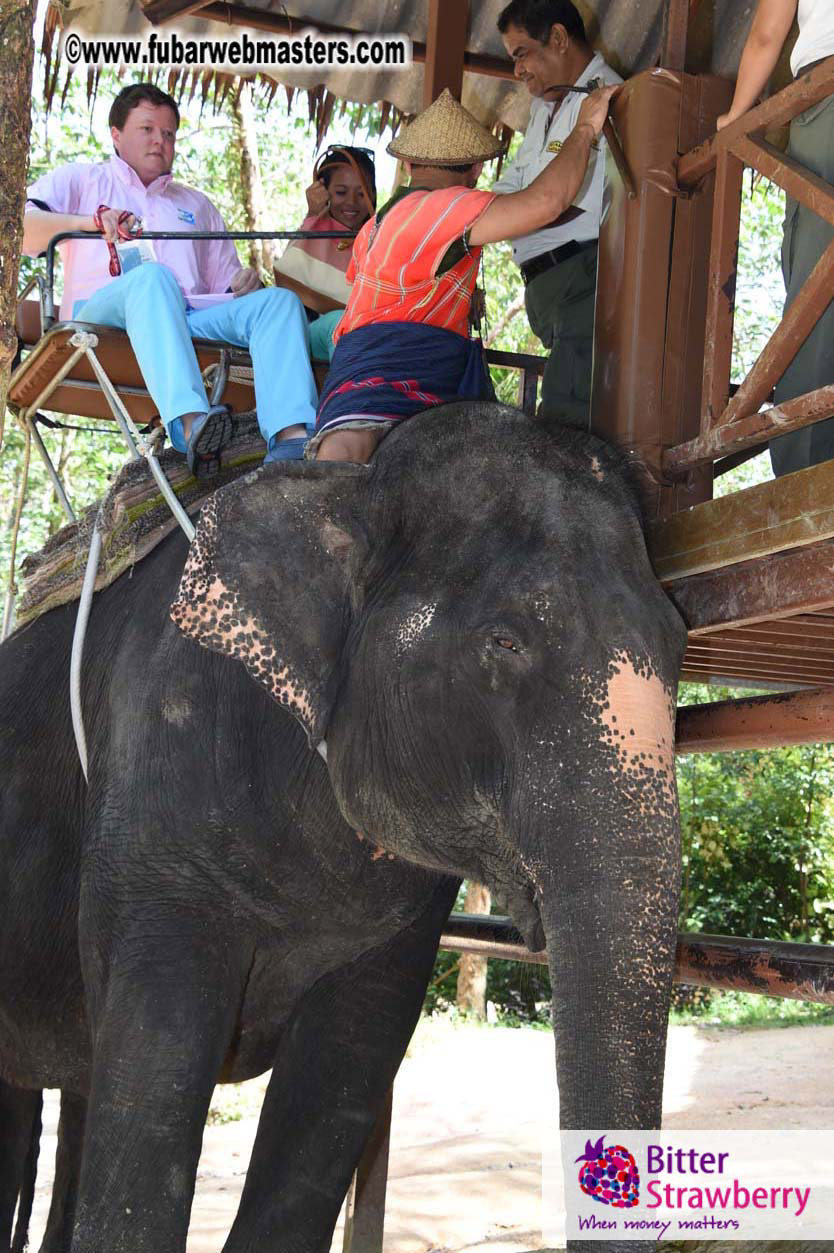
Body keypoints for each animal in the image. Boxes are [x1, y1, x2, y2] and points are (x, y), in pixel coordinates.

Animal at [0, 401, 687, 1253]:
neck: (346, 486)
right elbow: (153, 1073)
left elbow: (340, 1076)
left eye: (682, 636)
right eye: (504, 641)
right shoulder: (154, 779)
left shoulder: (400, 921)